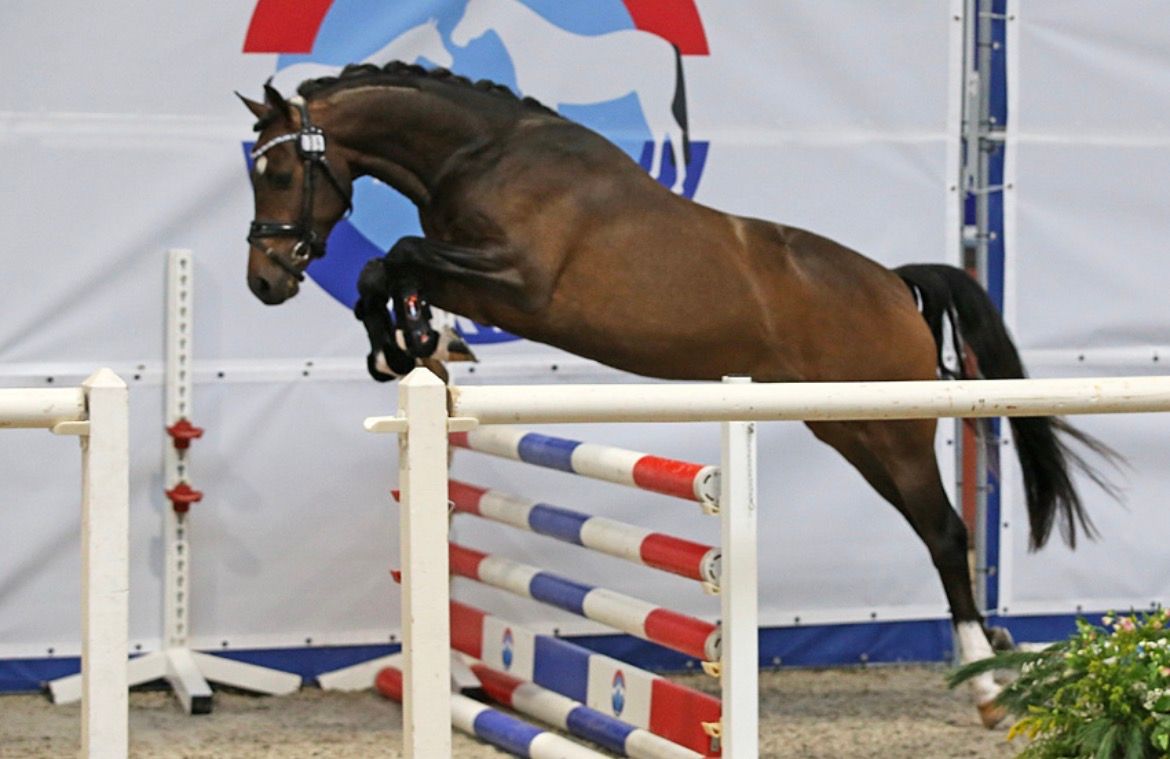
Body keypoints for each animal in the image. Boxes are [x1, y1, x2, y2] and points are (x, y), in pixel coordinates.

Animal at [239, 62, 1116, 728]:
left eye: (280, 172)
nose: (266, 280)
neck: (481, 155)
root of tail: (895, 286)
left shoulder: (519, 283)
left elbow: (394, 256)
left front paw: (405, 343)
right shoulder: (481, 279)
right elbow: (386, 270)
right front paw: (413, 346)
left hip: (891, 434)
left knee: (944, 534)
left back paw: (988, 686)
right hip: (846, 427)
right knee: (937, 531)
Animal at [450, 0, 690, 193]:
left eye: (473, 13)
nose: (456, 38)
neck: (537, 47)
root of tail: (669, 46)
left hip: (654, 98)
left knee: (671, 130)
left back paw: (677, 184)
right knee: (660, 130)